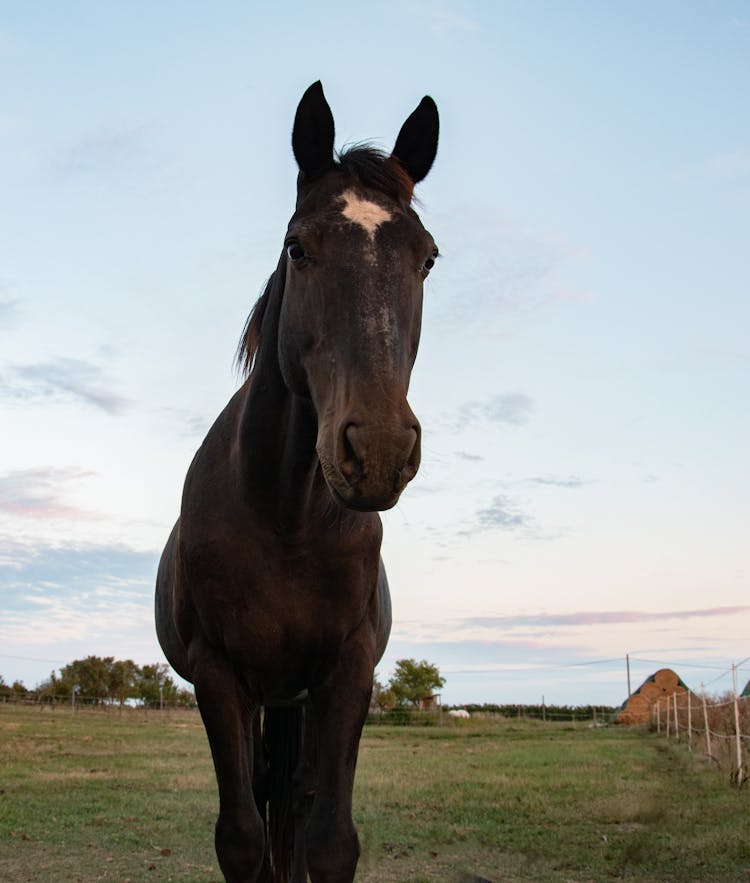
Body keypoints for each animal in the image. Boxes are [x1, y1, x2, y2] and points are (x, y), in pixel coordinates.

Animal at [157, 83, 440, 883]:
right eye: (298, 247)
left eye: (428, 259)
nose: (377, 448)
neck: (285, 517)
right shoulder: (219, 676)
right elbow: (243, 837)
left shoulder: (346, 674)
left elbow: (330, 838)